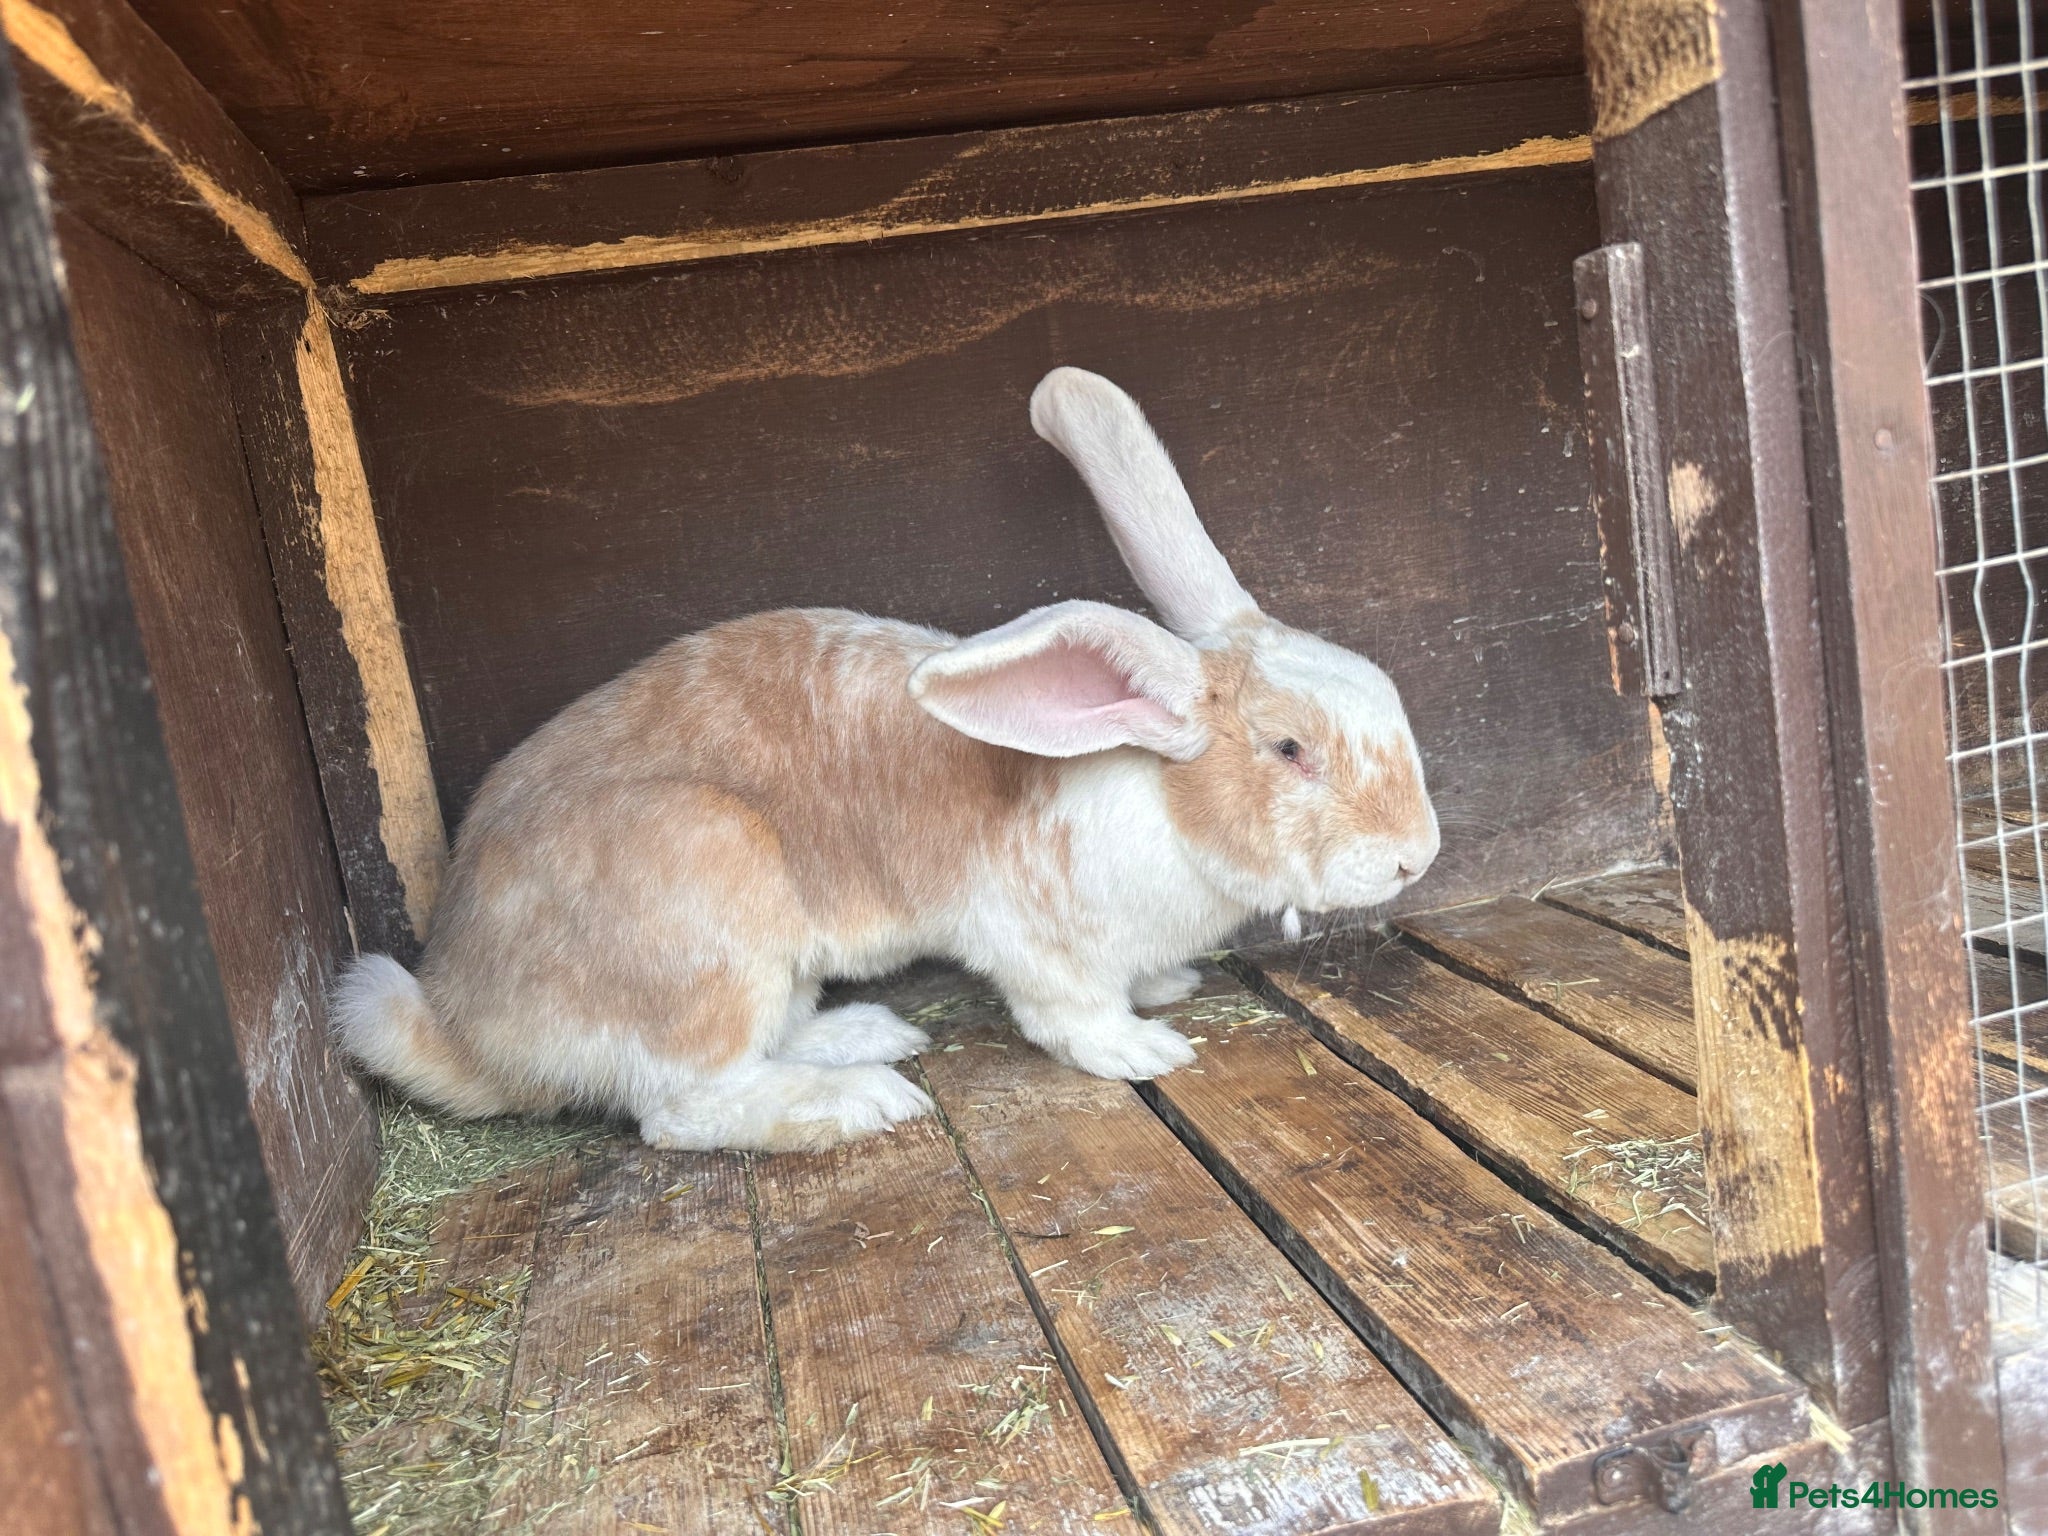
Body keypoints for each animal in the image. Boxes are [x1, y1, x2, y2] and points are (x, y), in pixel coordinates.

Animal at [332, 367, 1439, 1152]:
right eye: (1290, 749)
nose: (1414, 858)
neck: (1157, 798)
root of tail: (465, 1023)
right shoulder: (1033, 942)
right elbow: (1069, 1016)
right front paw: (1144, 1044)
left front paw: (1163, 987)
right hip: (704, 893)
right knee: (683, 1108)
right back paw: (864, 1098)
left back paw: (866, 1036)